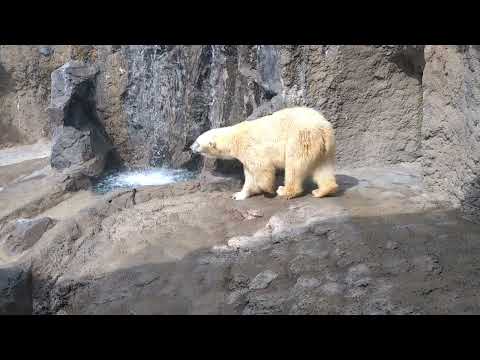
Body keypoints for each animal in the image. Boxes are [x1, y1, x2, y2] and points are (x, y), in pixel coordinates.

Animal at [189, 105, 340, 201]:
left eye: (197, 142)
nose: (190, 147)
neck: (233, 137)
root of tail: (322, 127)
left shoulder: (249, 147)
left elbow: (262, 167)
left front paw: (267, 189)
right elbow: (249, 175)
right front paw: (238, 194)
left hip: (301, 138)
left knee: (294, 165)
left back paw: (285, 190)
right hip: (325, 146)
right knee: (323, 166)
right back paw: (323, 190)